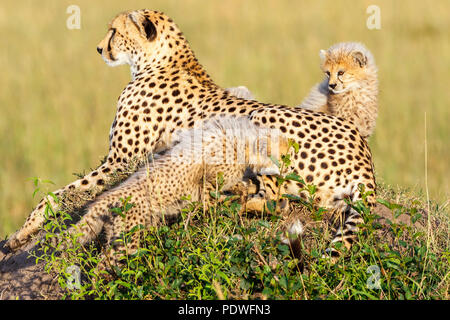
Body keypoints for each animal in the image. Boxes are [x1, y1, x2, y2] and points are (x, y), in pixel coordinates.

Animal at [7, 9, 376, 258]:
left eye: (113, 31)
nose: (99, 49)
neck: (160, 60)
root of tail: (364, 155)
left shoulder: (120, 162)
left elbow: (57, 195)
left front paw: (22, 233)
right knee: (284, 200)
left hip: (258, 117)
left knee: (275, 197)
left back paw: (230, 201)